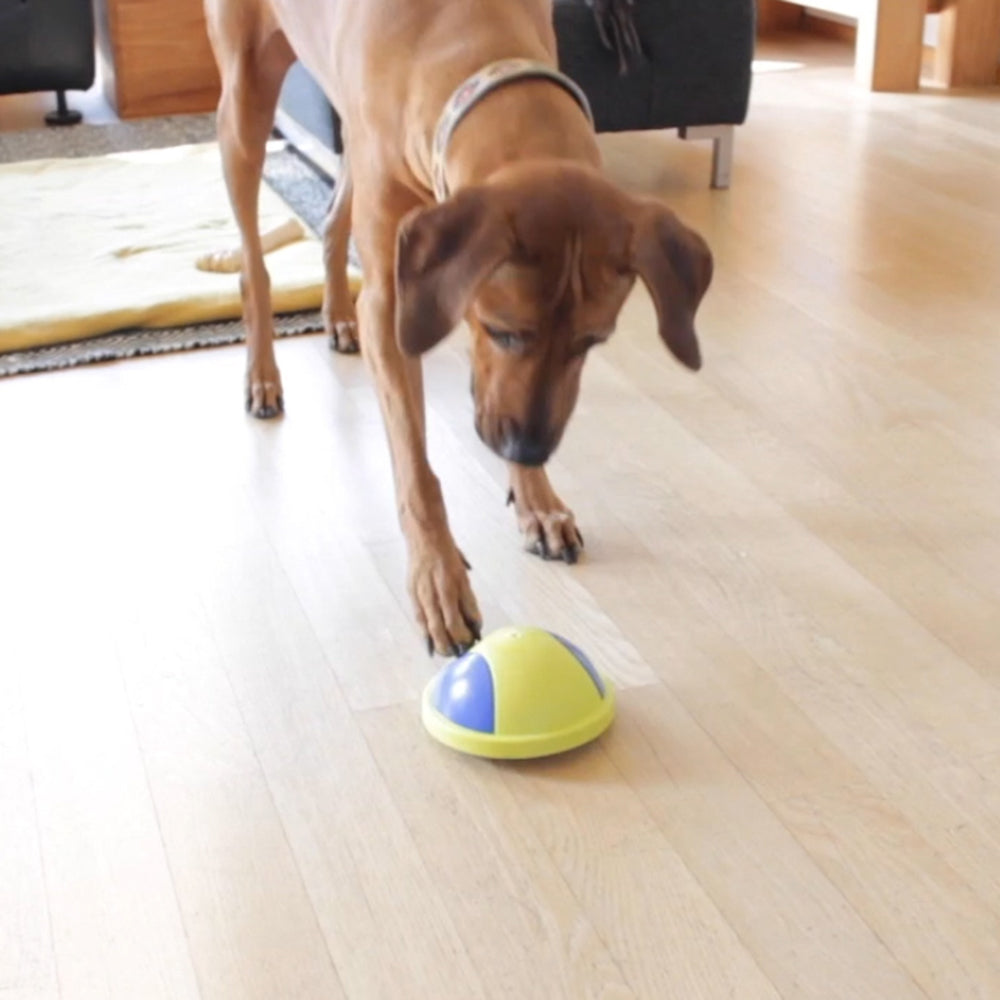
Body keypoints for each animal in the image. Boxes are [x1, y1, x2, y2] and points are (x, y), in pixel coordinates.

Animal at [205, 0, 712, 656]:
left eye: (591, 342)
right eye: (502, 331)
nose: (527, 449)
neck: (467, 41)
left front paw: (536, 501)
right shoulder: (396, 305)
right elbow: (416, 469)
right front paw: (437, 579)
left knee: (337, 208)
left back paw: (336, 314)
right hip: (244, 101)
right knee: (254, 262)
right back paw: (262, 375)